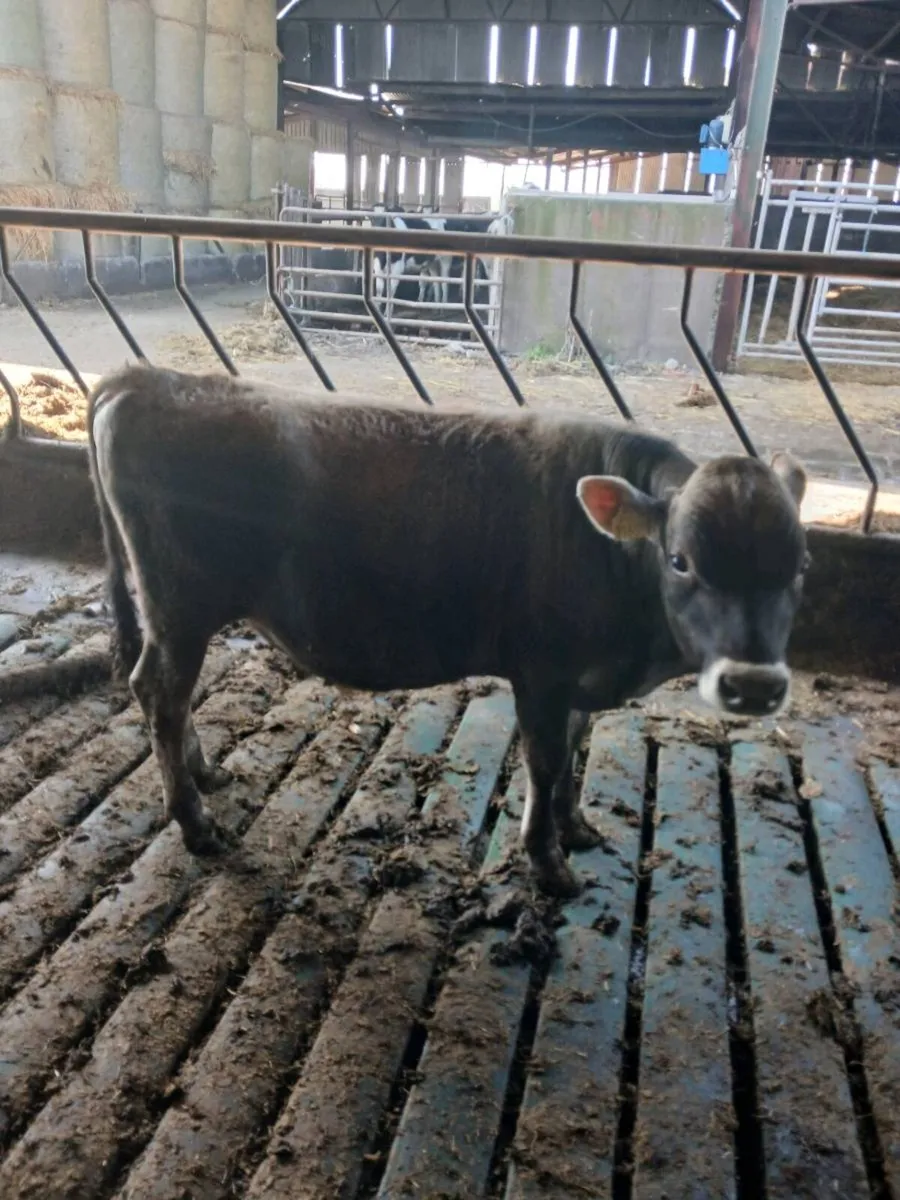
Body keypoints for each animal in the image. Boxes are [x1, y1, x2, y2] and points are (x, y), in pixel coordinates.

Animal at [88, 366, 808, 897]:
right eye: (681, 559)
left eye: (802, 564)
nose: (752, 685)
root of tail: (149, 379)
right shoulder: (541, 672)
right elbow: (546, 761)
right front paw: (547, 861)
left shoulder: (579, 679)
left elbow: (575, 751)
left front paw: (575, 828)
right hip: (180, 607)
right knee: (161, 694)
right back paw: (195, 822)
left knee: (171, 699)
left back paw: (203, 772)